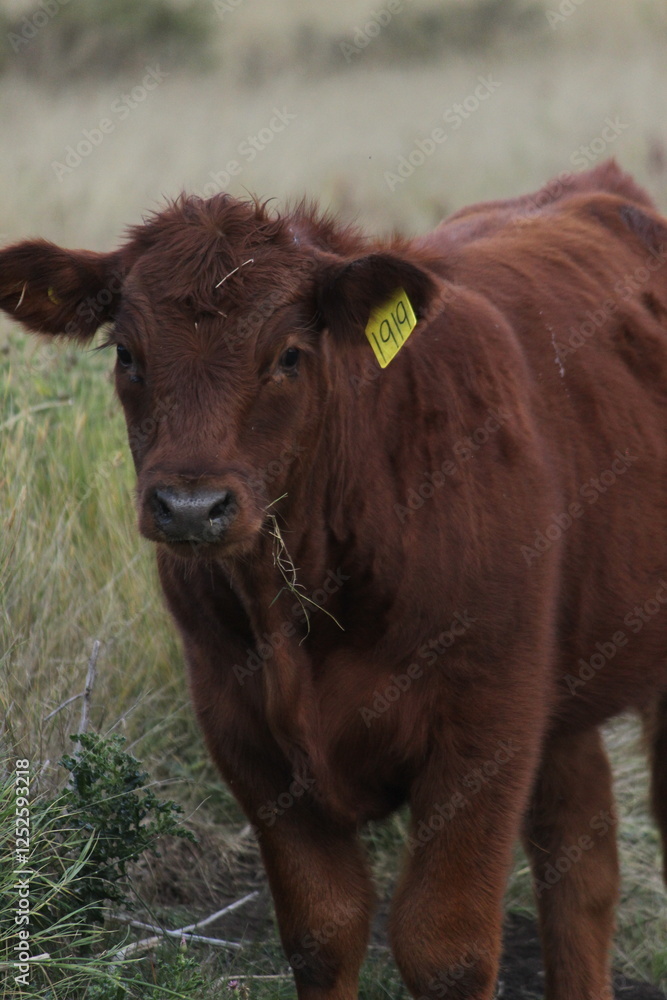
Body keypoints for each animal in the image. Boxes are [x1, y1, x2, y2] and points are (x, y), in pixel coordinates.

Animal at [1, 159, 666, 1000]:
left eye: (289, 354)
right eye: (126, 354)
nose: (190, 505)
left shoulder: (489, 719)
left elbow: (444, 947)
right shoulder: (240, 729)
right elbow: (324, 928)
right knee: (578, 857)